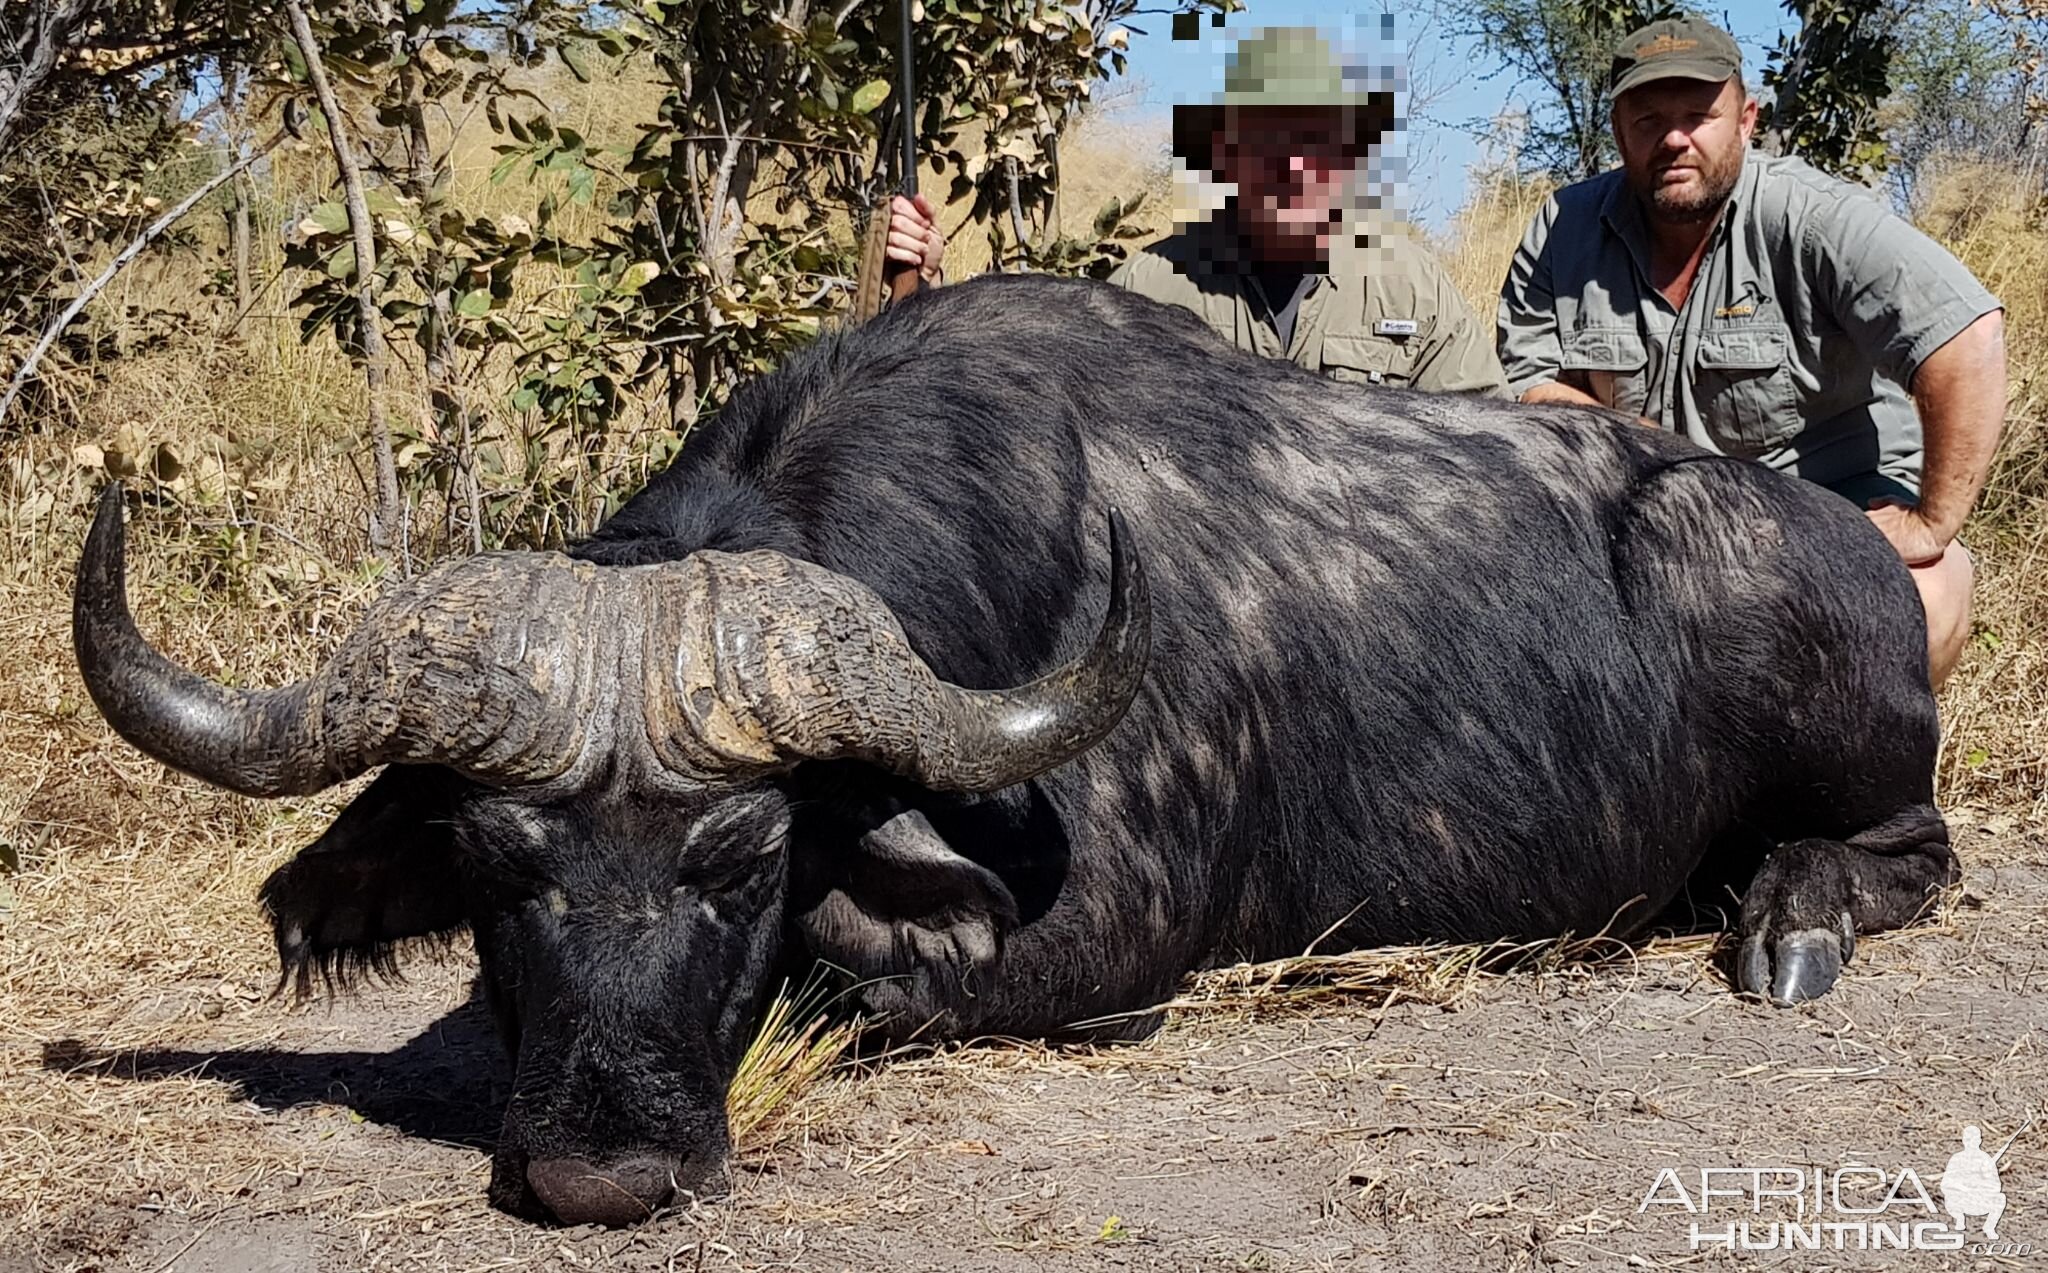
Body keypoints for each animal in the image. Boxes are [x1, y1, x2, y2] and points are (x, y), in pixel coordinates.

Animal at [72, 274, 1949, 1236]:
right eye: (488, 863)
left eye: (742, 857)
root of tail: (1843, 545)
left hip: (1851, 738)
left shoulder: (1097, 940)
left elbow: (869, 972)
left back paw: (1789, 920)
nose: (602, 1172)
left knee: (1908, 852)